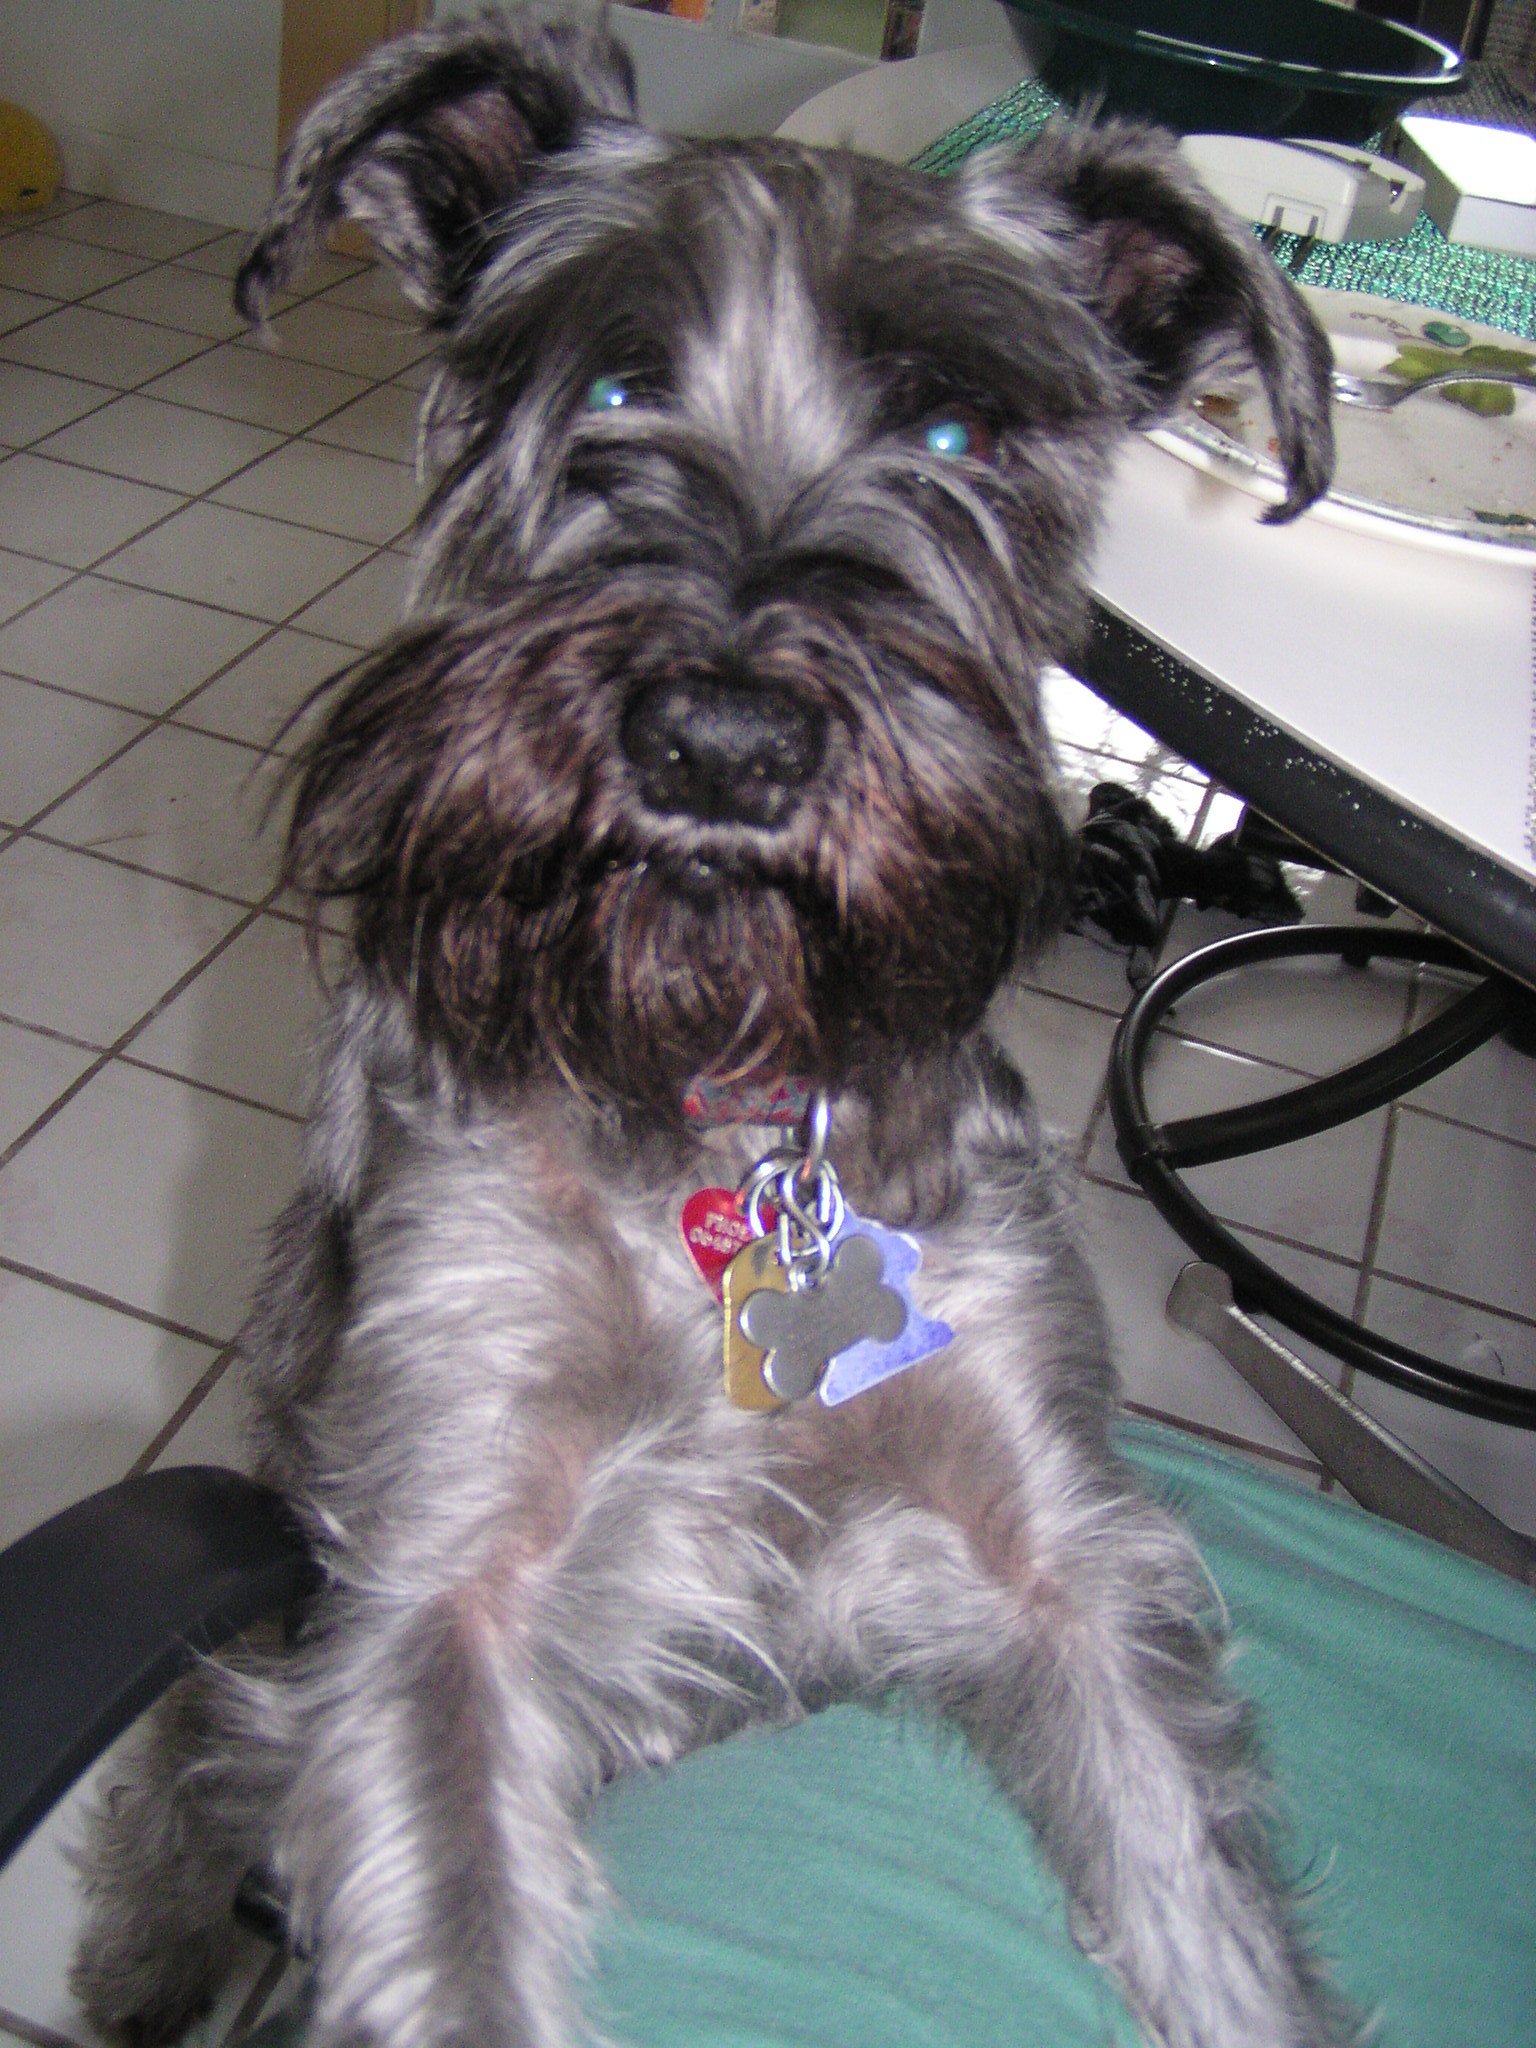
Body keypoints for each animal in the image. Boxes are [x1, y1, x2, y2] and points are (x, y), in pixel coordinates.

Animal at [71, 11, 1348, 2046]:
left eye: (954, 430)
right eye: (606, 379)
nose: (723, 739)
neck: (713, 1100)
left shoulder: (1053, 1548)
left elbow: (1206, 1908)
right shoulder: (441, 1589)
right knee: (181, 1806)